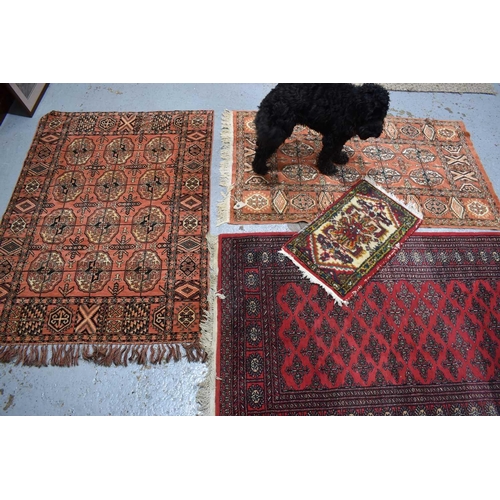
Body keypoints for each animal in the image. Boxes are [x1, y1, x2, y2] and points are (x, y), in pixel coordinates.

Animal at [252, 82, 388, 176]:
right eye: (370, 115)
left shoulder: (341, 136)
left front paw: (338, 158)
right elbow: (326, 155)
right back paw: (260, 168)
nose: (376, 132)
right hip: (279, 131)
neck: (350, 105)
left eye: (383, 115)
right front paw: (327, 168)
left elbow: (338, 149)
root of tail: (273, 94)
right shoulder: (332, 138)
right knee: (261, 151)